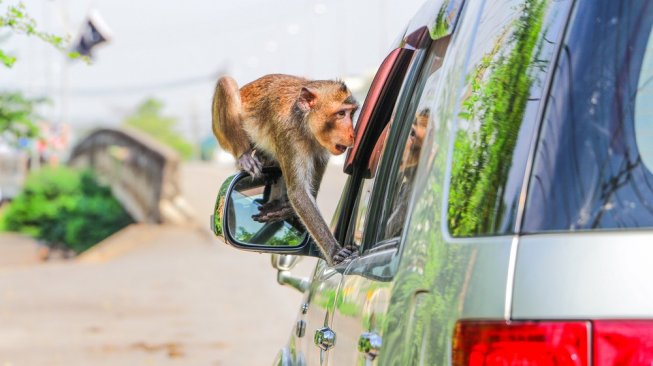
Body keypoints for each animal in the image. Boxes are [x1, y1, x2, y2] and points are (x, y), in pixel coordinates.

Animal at [211, 73, 356, 266]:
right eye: (341, 113)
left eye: (351, 113)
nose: (353, 134)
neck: (304, 122)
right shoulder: (288, 134)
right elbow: (298, 193)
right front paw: (335, 252)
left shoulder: (321, 148)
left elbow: (309, 190)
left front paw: (284, 210)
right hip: (223, 136)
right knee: (225, 82)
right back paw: (245, 157)